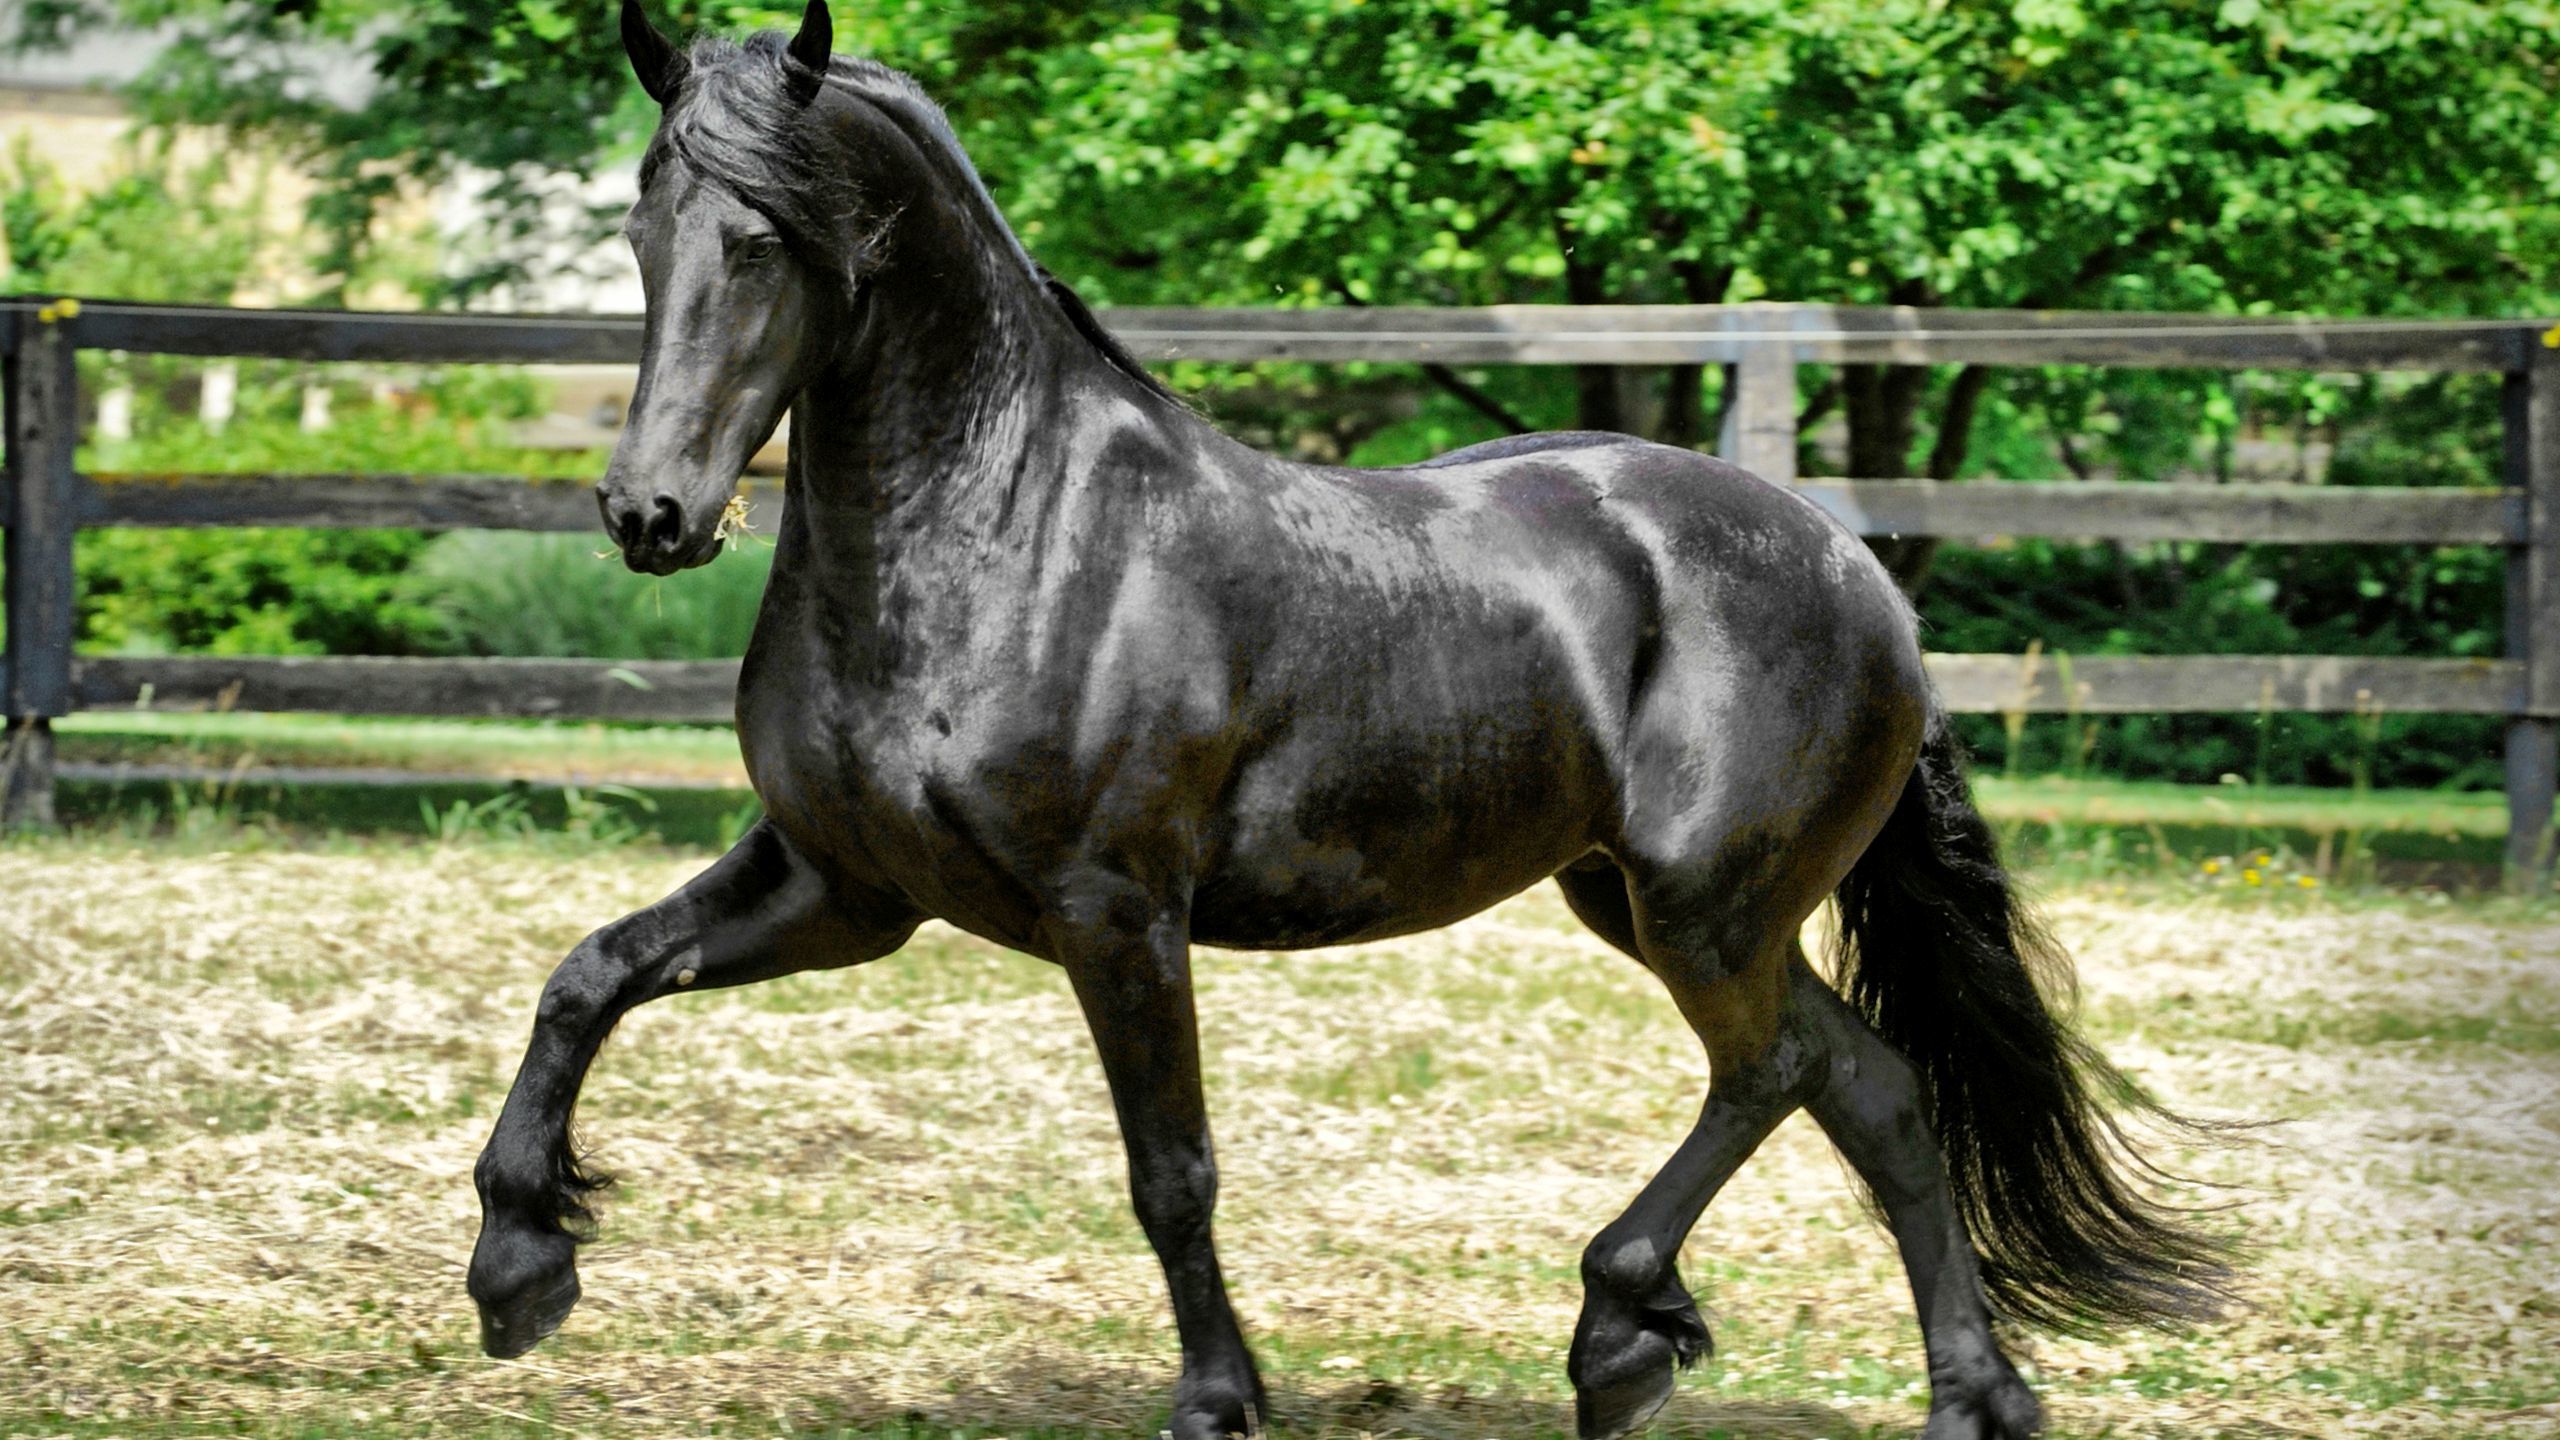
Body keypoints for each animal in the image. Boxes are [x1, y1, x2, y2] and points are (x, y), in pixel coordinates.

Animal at [467, 6, 2231, 1436]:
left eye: (769, 235)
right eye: (645, 222)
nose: (651, 513)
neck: (1003, 532)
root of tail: (1863, 578)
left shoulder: (1115, 911)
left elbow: (1171, 1173)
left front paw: (1220, 1400)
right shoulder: (846, 890)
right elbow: (587, 977)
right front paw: (516, 1263)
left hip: (1706, 907)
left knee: (1789, 1070)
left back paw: (1623, 1330)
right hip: (1638, 901)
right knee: (1869, 1085)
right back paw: (1959, 1392)